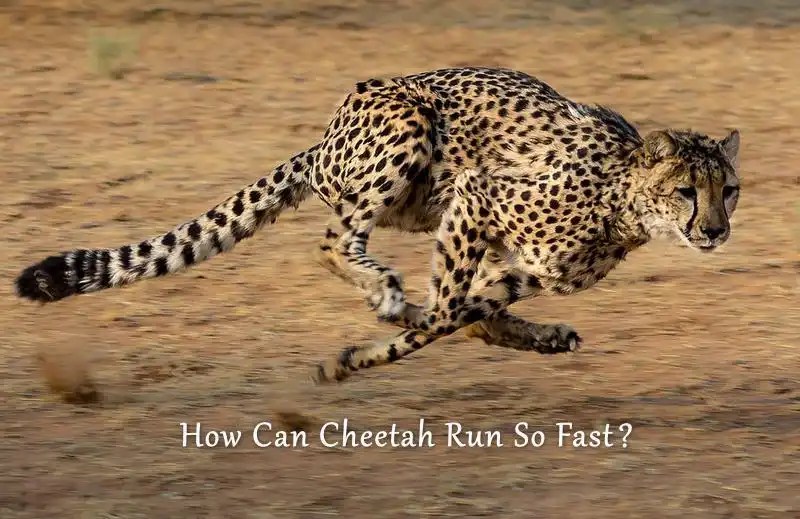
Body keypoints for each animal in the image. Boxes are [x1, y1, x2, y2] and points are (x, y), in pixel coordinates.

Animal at [14, 67, 741, 384]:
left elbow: (464, 313)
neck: (624, 201)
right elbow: (444, 312)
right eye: (686, 191)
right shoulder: (478, 196)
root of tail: (325, 135)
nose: (715, 231)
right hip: (409, 130)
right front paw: (357, 356)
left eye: (728, 191)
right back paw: (384, 291)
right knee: (334, 241)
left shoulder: (525, 266)